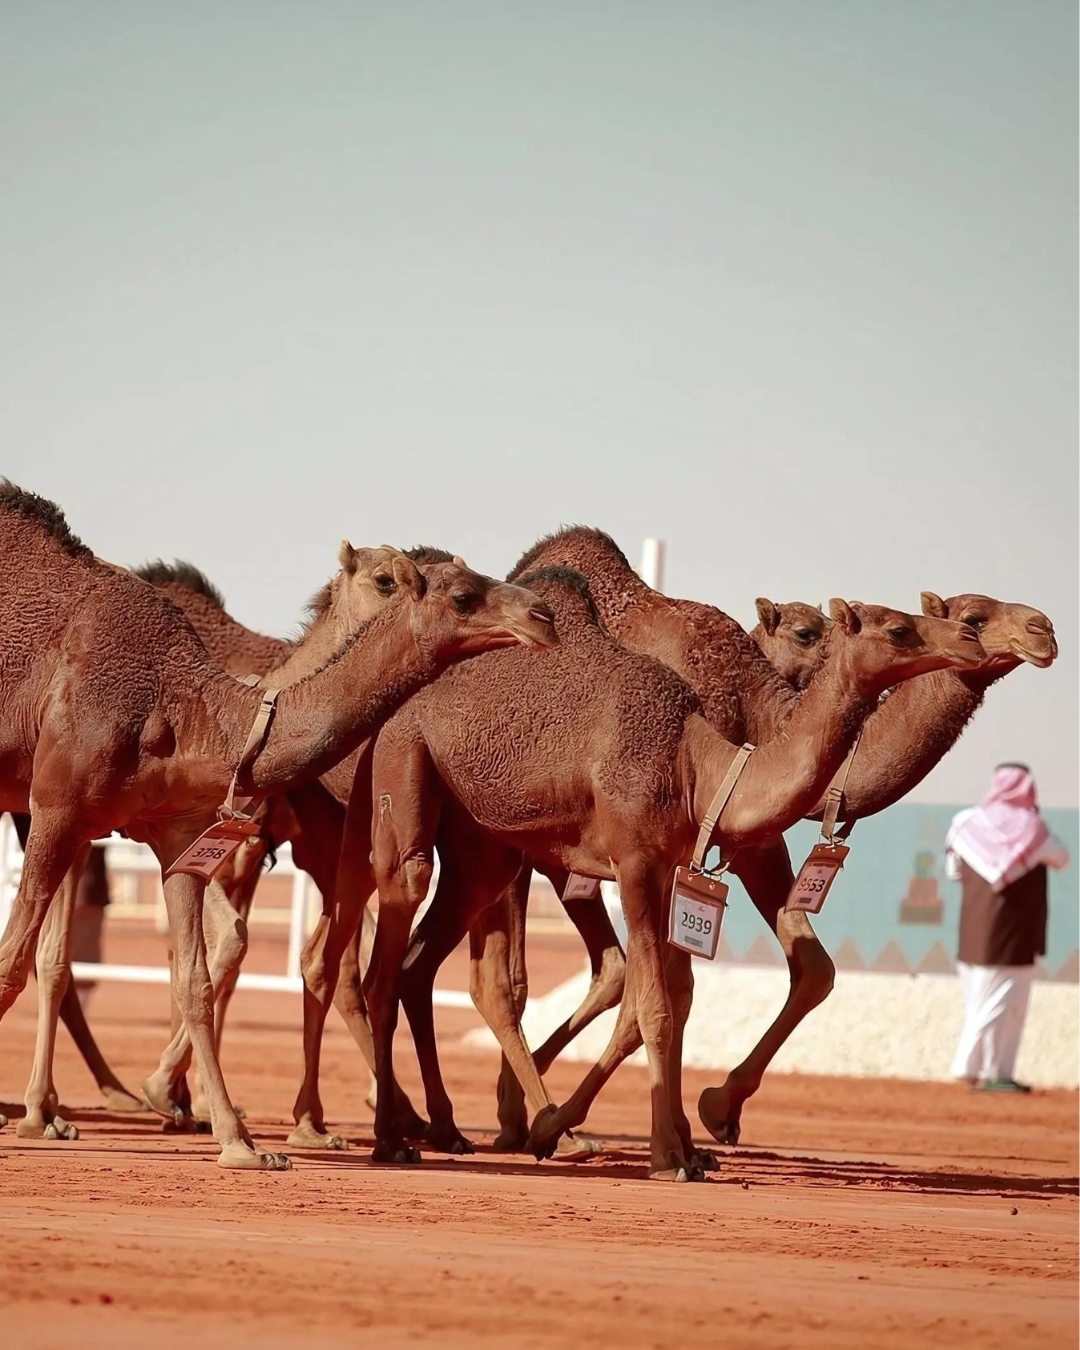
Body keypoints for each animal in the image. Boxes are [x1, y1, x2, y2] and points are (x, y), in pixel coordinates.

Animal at [0, 480, 556, 1166]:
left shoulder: (182, 836)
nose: (542, 615)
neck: (192, 708)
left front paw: (237, 1142)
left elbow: (197, 977)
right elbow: (16, 963)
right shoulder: (60, 809)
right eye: (460, 595)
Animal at [359, 564, 982, 1177]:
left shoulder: (671, 871)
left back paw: (451, 1128)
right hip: (404, 765)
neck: (692, 764)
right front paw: (666, 1156)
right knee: (406, 930)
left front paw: (684, 1145)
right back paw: (403, 1136)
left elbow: (675, 1001)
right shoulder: (636, 865)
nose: (968, 640)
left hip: (483, 852)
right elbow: (656, 1007)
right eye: (898, 629)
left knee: (420, 965)